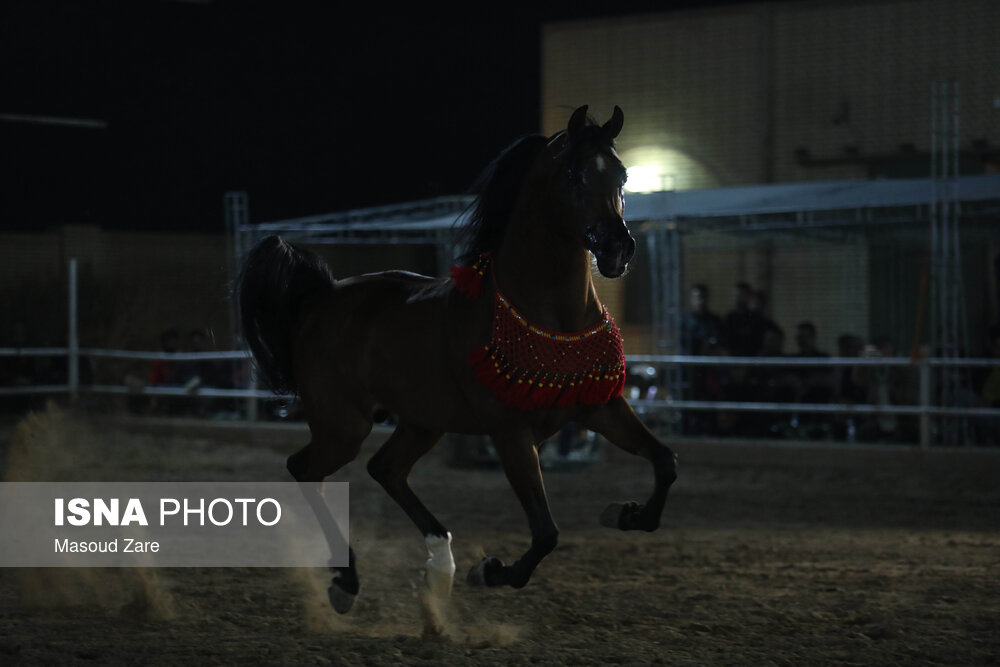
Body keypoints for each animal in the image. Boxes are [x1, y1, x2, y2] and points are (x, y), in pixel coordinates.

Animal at [240, 105, 680, 616]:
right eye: (574, 173)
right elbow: (546, 533)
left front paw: (625, 514)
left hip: (421, 421)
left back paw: (438, 562)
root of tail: (322, 297)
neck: (547, 312)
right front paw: (489, 570)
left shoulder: (601, 408)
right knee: (305, 470)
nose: (617, 249)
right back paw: (347, 581)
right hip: (343, 427)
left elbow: (664, 461)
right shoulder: (511, 433)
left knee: (385, 469)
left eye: (622, 175)